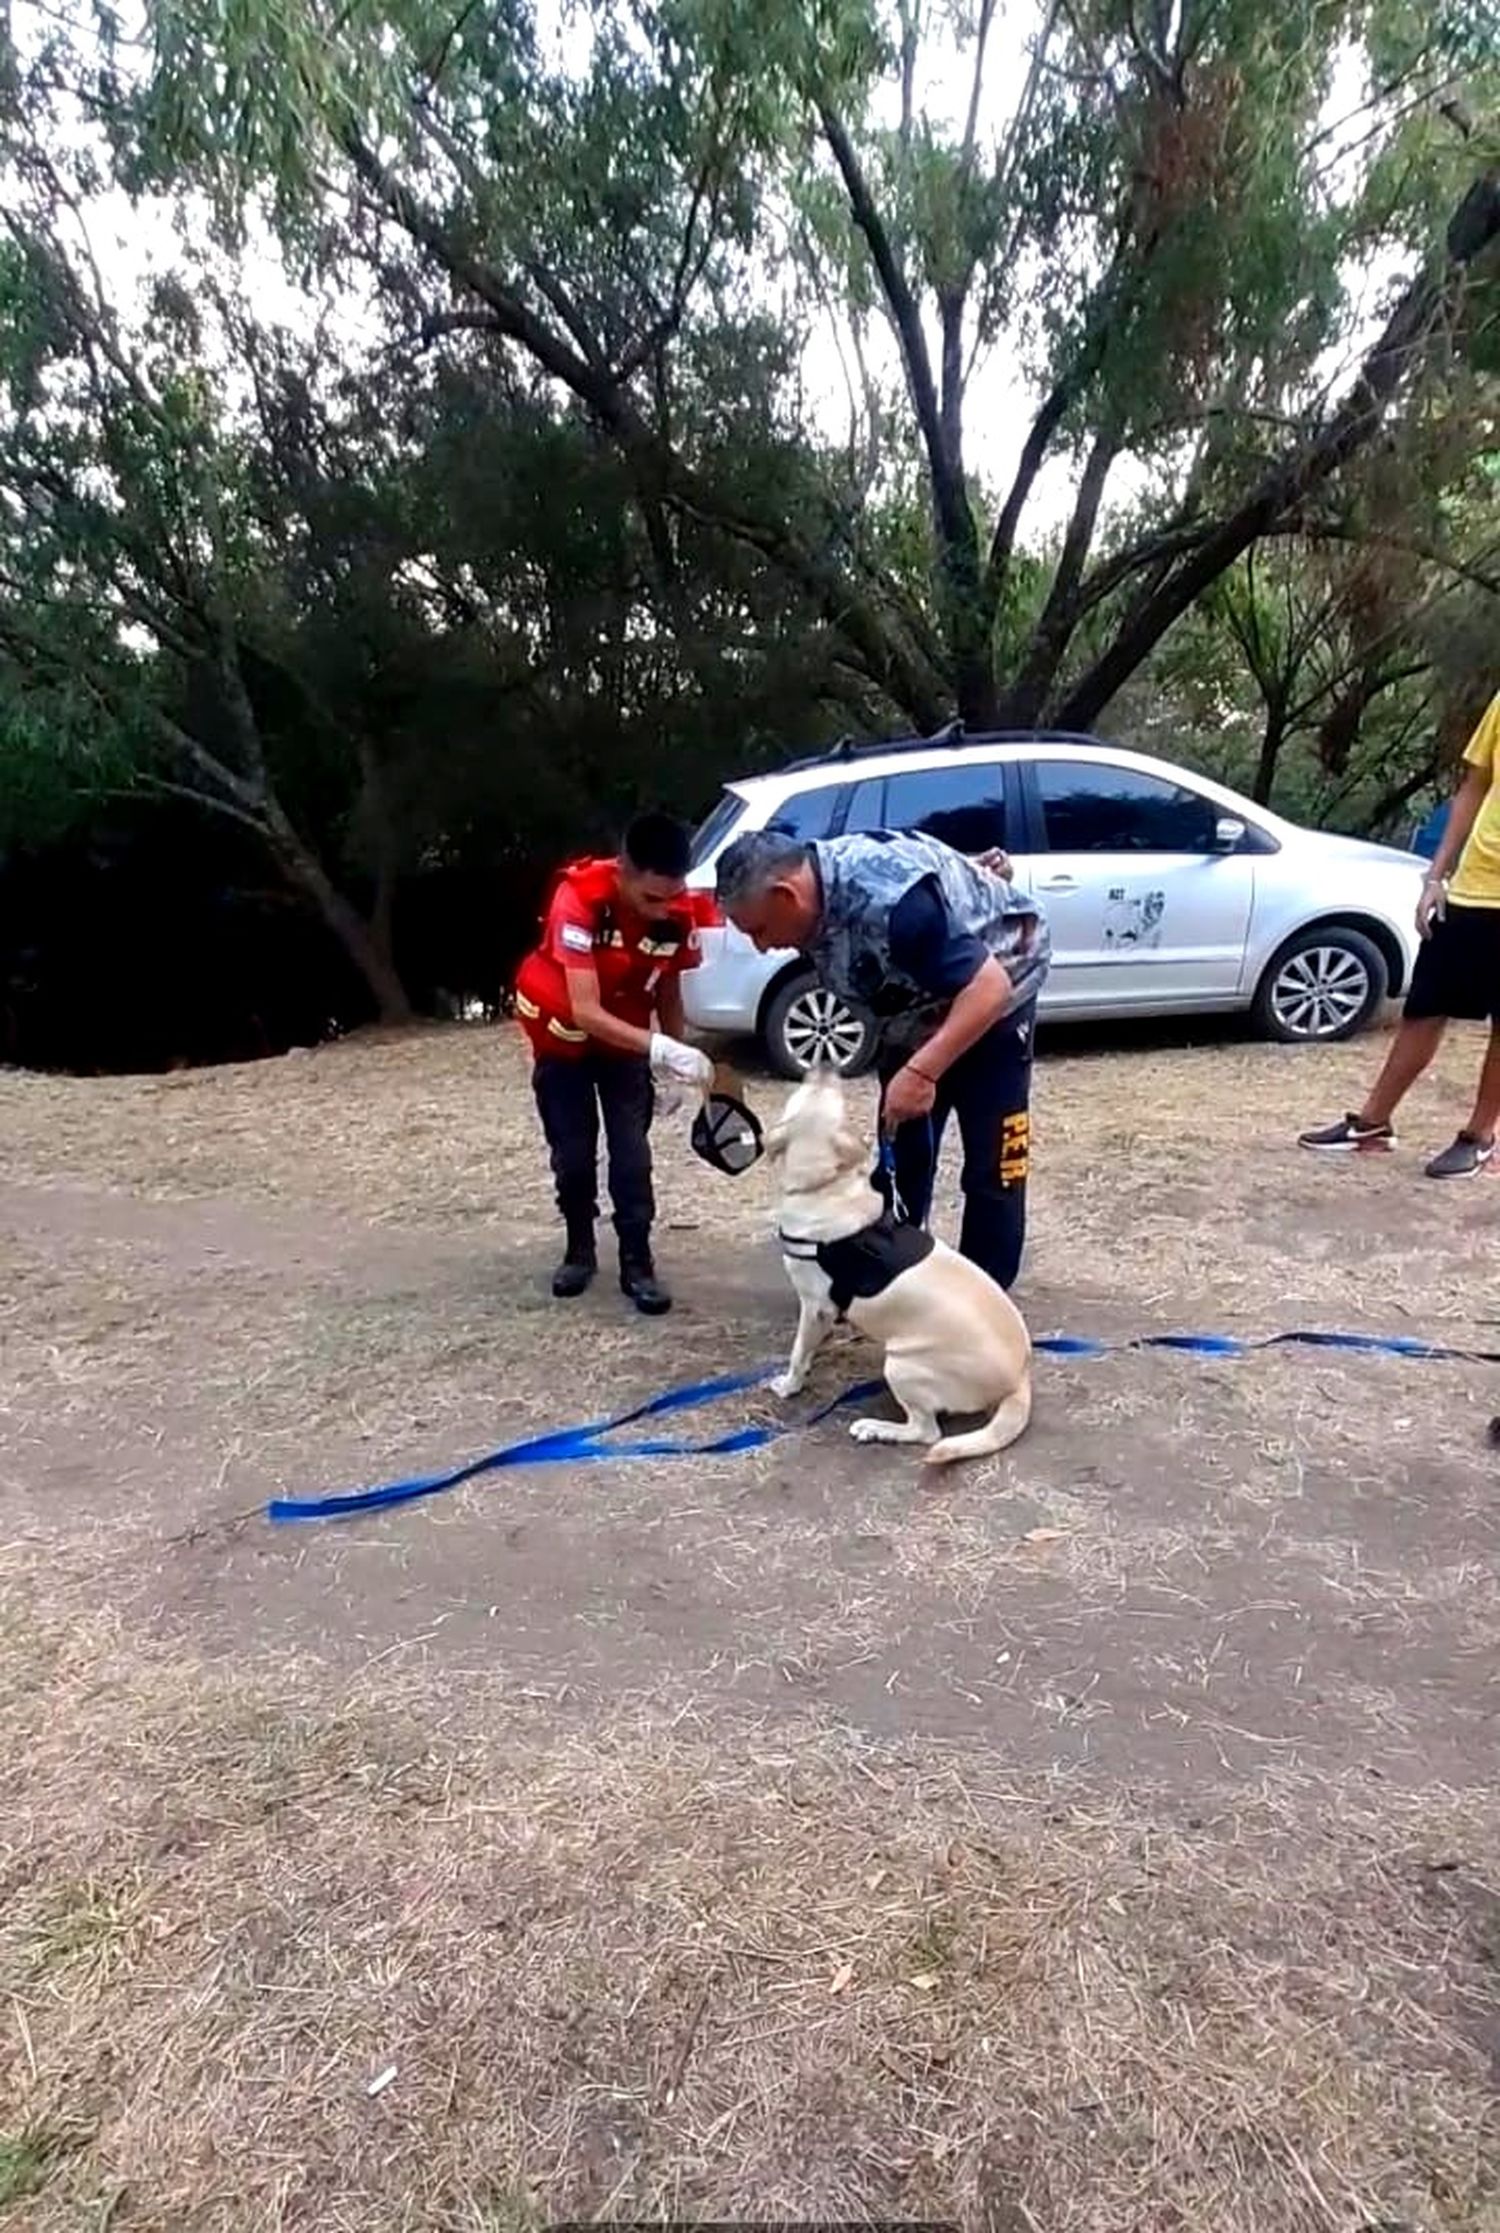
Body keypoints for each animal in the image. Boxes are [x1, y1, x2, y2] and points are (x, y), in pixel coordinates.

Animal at [767, 1062, 1026, 1464]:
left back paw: (874, 1428)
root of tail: (1019, 1382)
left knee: (927, 1431)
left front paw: (790, 1384)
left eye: (804, 1092)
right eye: (832, 1094)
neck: (828, 1186)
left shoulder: (815, 1305)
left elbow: (798, 1351)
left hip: (903, 1365)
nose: (825, 1065)